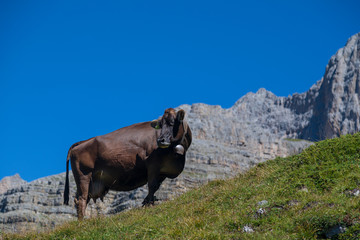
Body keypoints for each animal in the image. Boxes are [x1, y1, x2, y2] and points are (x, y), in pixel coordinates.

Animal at [62, 109, 191, 219]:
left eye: (172, 122)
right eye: (161, 124)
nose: (160, 140)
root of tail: (83, 142)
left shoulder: (162, 173)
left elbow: (155, 189)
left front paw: (147, 203)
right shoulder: (153, 165)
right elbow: (152, 186)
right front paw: (149, 206)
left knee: (80, 199)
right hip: (83, 176)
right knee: (81, 199)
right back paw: (82, 222)